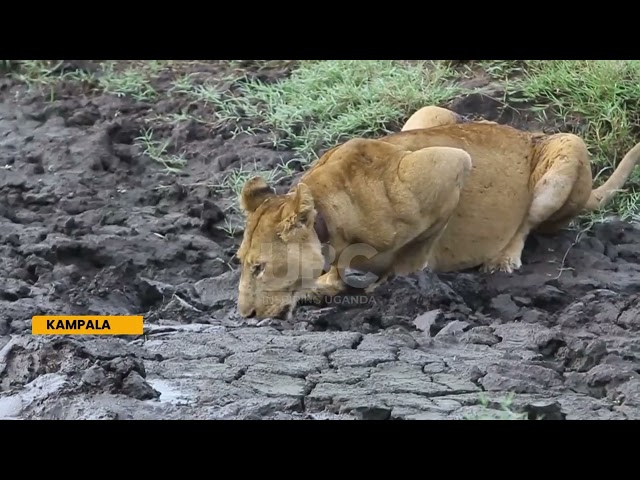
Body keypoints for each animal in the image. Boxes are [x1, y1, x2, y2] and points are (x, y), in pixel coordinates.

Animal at [236, 104, 640, 318]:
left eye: (259, 267)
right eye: (242, 262)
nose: (246, 315)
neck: (331, 225)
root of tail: (522, 131)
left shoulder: (450, 163)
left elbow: (415, 253)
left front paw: (394, 285)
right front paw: (324, 286)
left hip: (567, 149)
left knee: (527, 221)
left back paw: (503, 259)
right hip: (429, 112)